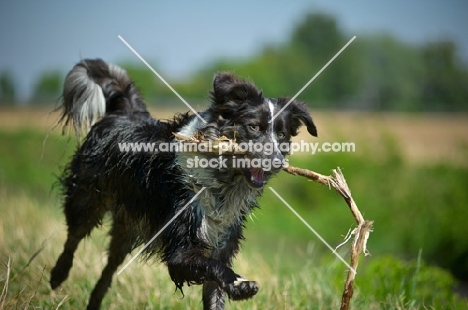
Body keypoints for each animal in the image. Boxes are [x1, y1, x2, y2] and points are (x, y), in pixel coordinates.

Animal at [49, 58, 316, 310]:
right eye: (254, 127)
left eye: (281, 135)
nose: (278, 162)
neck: (221, 180)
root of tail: (125, 113)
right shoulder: (180, 249)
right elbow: (210, 265)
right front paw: (238, 283)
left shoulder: (222, 243)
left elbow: (214, 288)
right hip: (87, 198)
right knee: (74, 236)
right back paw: (57, 274)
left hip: (127, 226)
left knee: (109, 268)